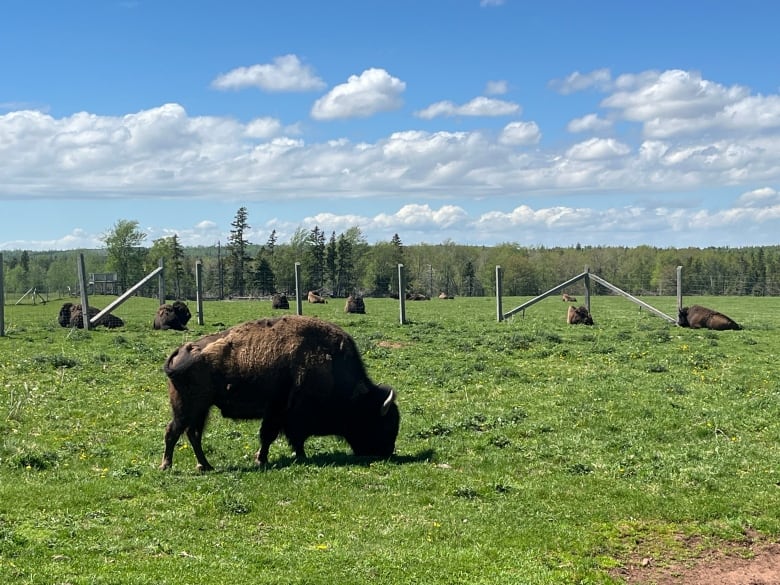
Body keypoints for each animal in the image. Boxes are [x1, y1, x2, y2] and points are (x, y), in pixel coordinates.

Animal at [160, 314, 402, 470]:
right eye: (383, 423)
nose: (387, 451)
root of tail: (181, 351)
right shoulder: (281, 413)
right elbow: (274, 436)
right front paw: (264, 459)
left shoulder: (280, 416)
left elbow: (283, 437)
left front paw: (290, 456)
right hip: (187, 408)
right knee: (174, 431)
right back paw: (167, 466)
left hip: (201, 409)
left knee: (193, 434)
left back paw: (204, 465)